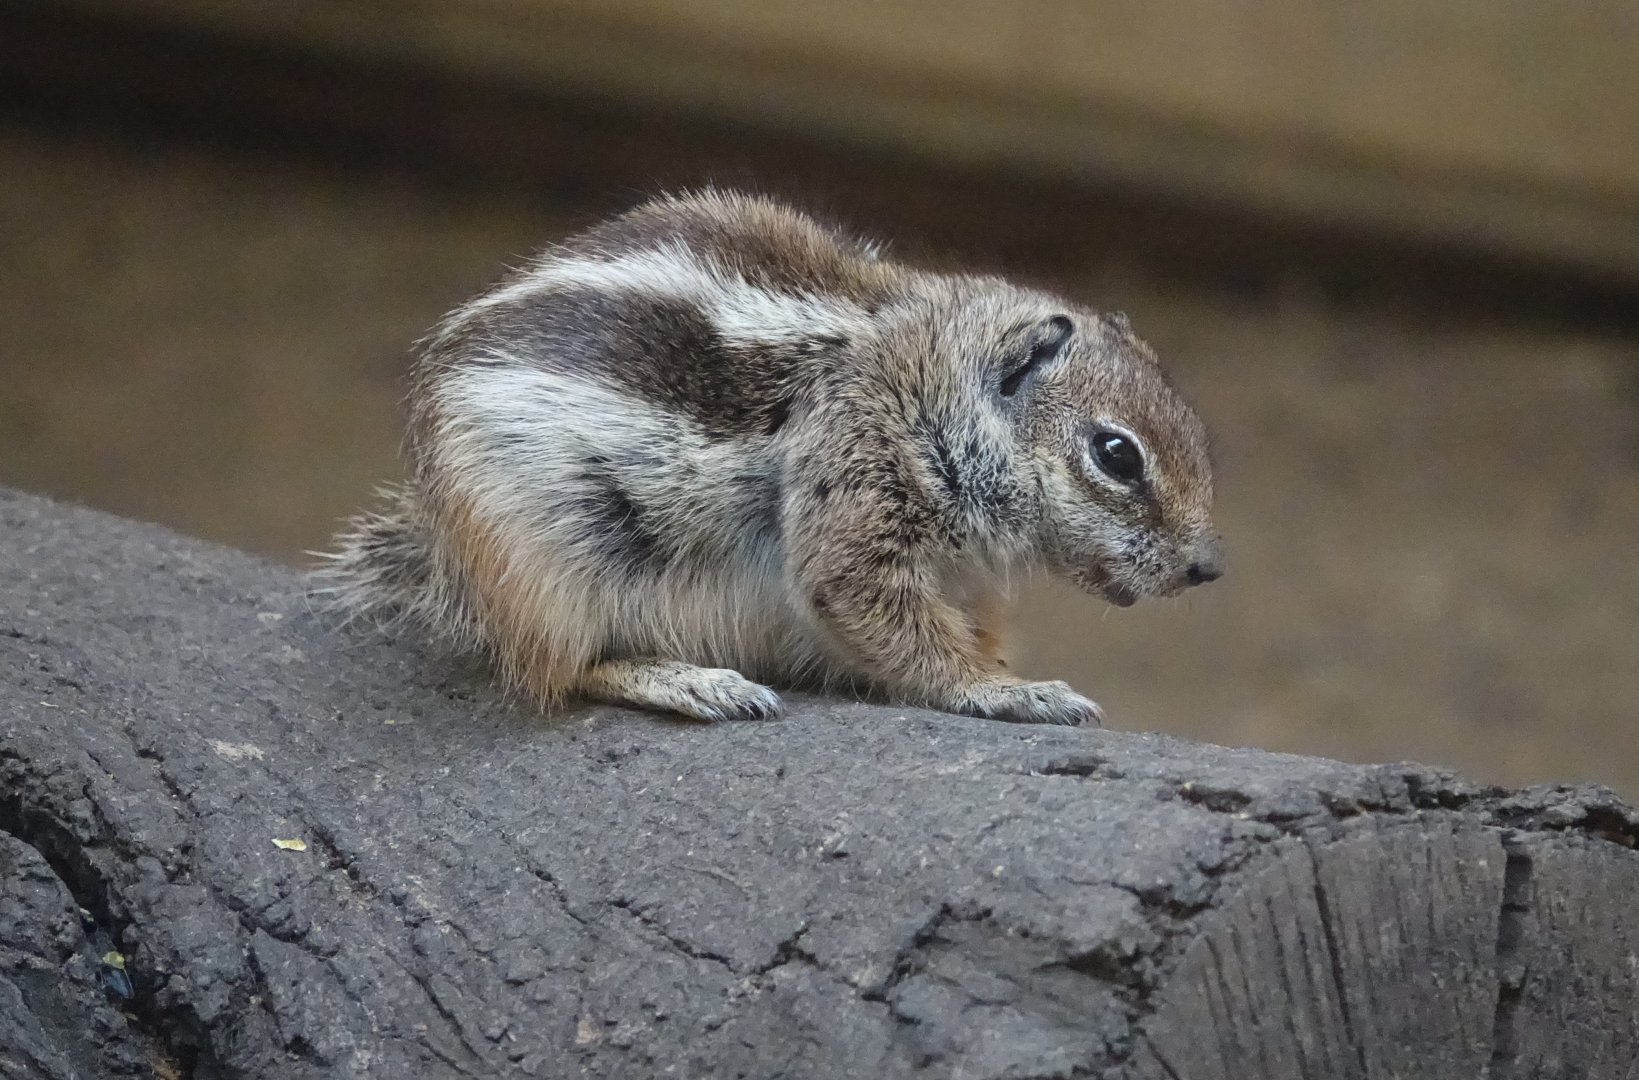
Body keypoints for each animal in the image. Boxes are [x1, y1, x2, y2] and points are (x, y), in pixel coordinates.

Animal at [318, 190, 1222, 726]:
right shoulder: (855, 479)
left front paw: (1002, 665)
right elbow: (889, 622)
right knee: (564, 670)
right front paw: (1006, 690)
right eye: (1115, 454)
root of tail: (446, 556)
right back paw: (688, 681)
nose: (1207, 567)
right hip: (540, 560)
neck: (929, 381)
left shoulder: (966, 581)